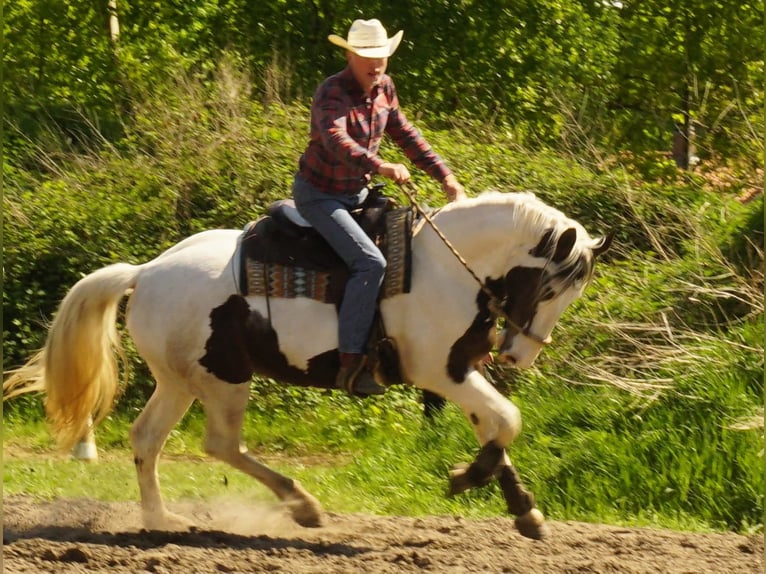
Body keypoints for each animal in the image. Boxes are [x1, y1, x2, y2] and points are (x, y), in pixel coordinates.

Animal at [3, 190, 611, 540]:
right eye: (550, 287)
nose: (520, 353)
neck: (443, 267)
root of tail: (146, 271)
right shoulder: (441, 371)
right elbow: (507, 420)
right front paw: (466, 478)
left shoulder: (461, 368)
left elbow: (495, 427)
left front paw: (524, 511)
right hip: (224, 380)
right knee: (220, 444)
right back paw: (302, 506)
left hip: (179, 382)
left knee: (147, 439)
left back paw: (161, 521)